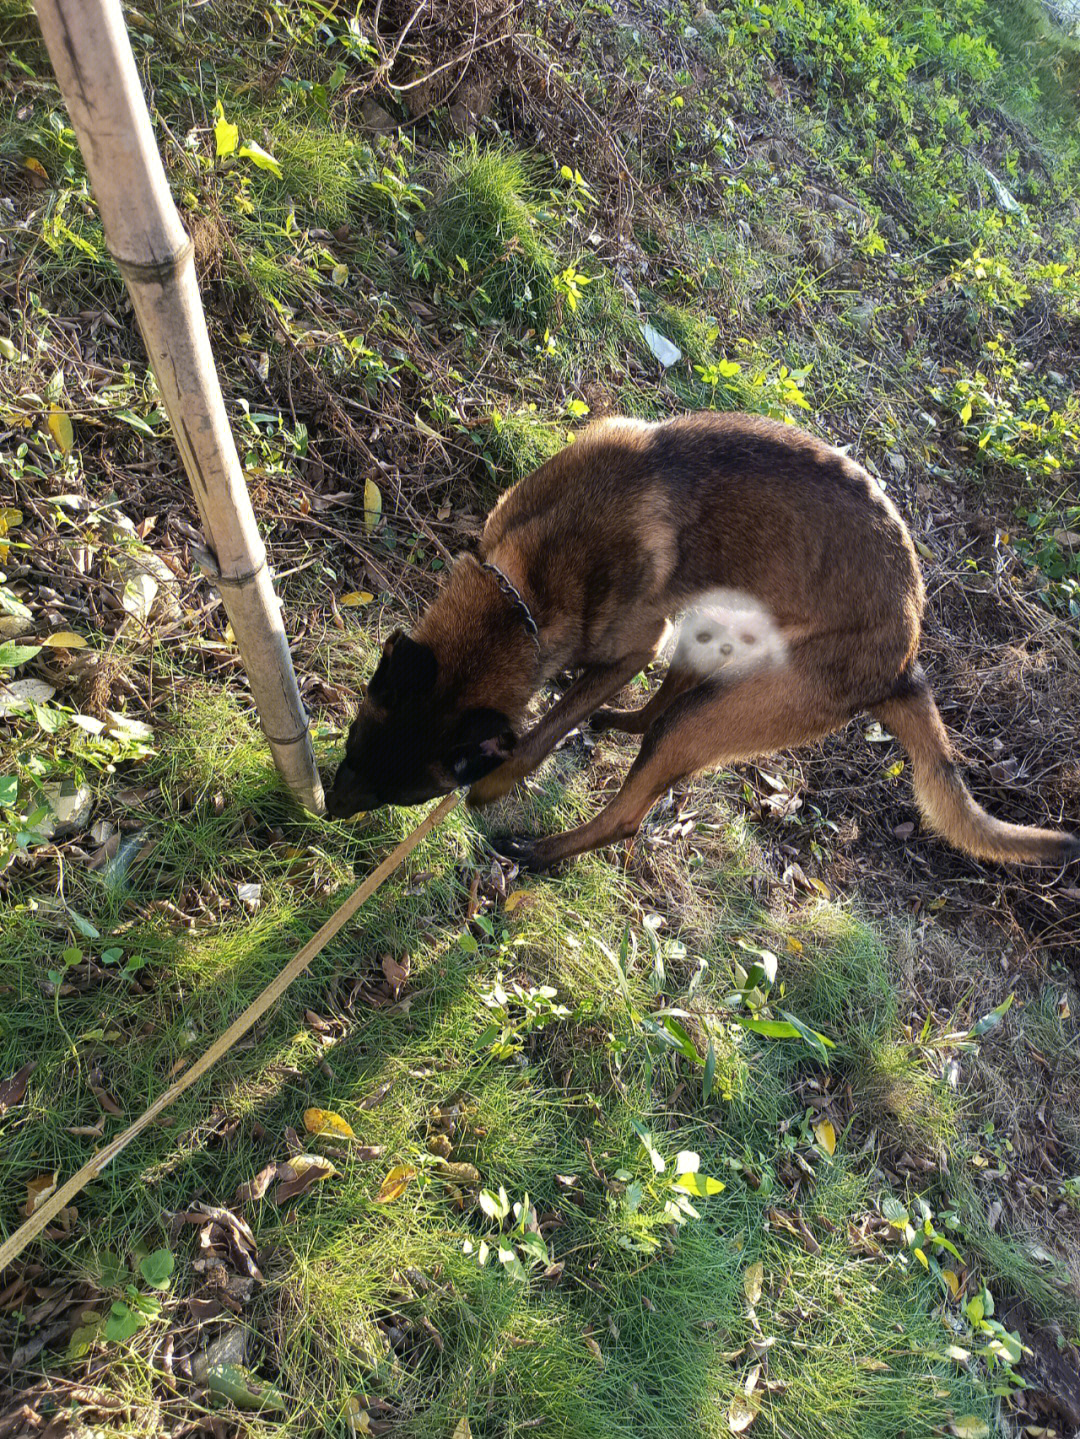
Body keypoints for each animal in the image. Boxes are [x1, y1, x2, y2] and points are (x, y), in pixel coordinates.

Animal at [327, 411, 1080, 869]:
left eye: (406, 796)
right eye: (352, 750)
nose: (326, 811)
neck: (525, 592)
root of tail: (902, 662)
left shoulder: (629, 647)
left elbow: (544, 729)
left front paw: (498, 781)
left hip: (709, 718)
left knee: (631, 807)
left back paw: (543, 851)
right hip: (708, 631)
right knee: (660, 705)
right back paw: (620, 722)